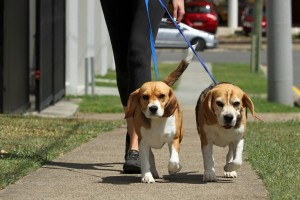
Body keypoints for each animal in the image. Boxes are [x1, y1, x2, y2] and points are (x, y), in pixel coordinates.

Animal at [125, 47, 193, 184]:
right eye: (145, 97)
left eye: (162, 95)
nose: (153, 108)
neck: (157, 121)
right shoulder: (143, 143)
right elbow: (146, 161)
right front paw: (147, 176)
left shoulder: (174, 139)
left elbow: (173, 160)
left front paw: (175, 168)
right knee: (151, 157)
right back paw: (153, 172)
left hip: (180, 134)